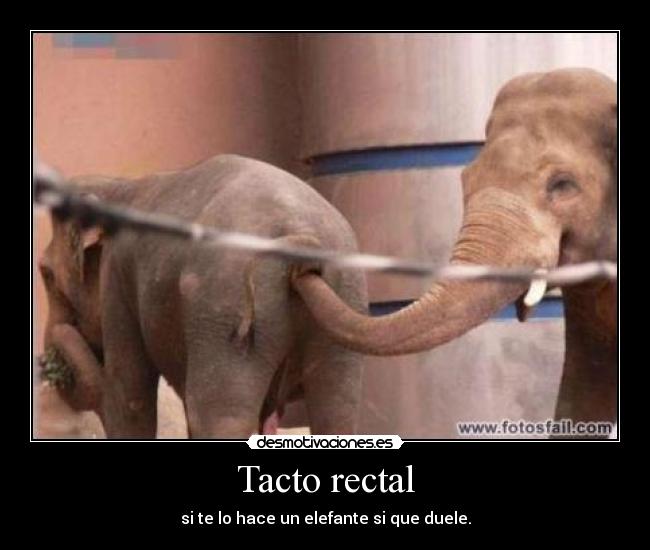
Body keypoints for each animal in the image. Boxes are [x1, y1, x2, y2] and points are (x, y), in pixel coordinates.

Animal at [38, 155, 367, 438]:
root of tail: (301, 239)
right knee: (337, 411)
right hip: (343, 305)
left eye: (45, 274)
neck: (118, 186)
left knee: (217, 416)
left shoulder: (117, 277)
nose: (49, 363)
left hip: (223, 303)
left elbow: (130, 397)